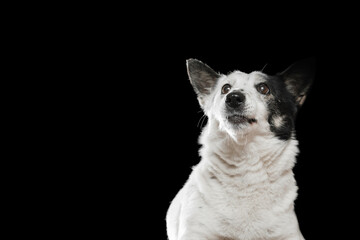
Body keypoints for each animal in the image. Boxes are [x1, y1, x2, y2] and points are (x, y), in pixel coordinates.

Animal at [166, 58, 316, 240]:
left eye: (263, 88)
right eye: (225, 88)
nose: (233, 97)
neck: (245, 159)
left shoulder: (289, 234)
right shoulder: (194, 232)